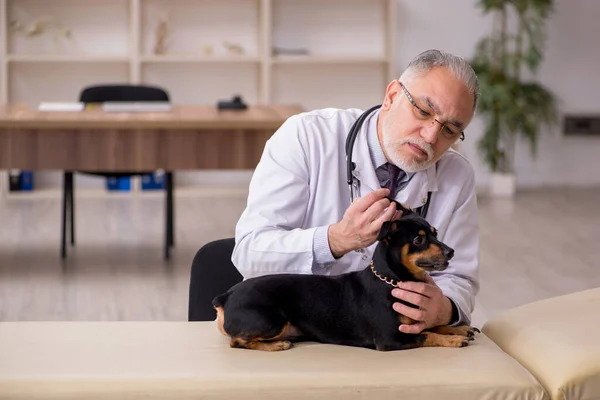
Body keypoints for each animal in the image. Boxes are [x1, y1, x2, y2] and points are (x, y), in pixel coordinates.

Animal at [212, 205, 478, 352]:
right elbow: (426, 334)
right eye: (419, 239)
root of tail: (226, 296)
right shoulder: (390, 339)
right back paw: (277, 345)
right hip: (271, 321)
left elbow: (431, 324)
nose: (451, 251)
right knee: (237, 341)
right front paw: (454, 340)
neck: (391, 281)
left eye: (436, 234)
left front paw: (458, 329)